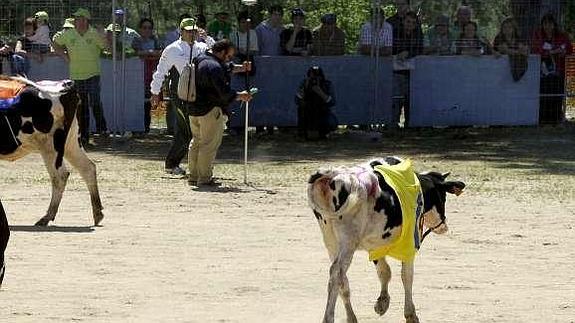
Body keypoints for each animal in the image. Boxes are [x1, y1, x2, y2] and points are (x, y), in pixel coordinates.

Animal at [0, 77, 103, 227]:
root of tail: (66, 85)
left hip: (51, 147)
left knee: (60, 176)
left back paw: (47, 216)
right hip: (71, 144)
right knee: (88, 168)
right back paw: (97, 213)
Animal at [308, 156, 466, 322]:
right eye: (444, 197)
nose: (444, 226)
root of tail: (330, 175)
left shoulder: (376, 245)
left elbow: (384, 271)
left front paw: (382, 303)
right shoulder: (410, 242)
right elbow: (406, 275)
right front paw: (410, 314)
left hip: (331, 241)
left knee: (341, 279)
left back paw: (351, 317)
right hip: (348, 242)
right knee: (337, 272)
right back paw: (329, 317)